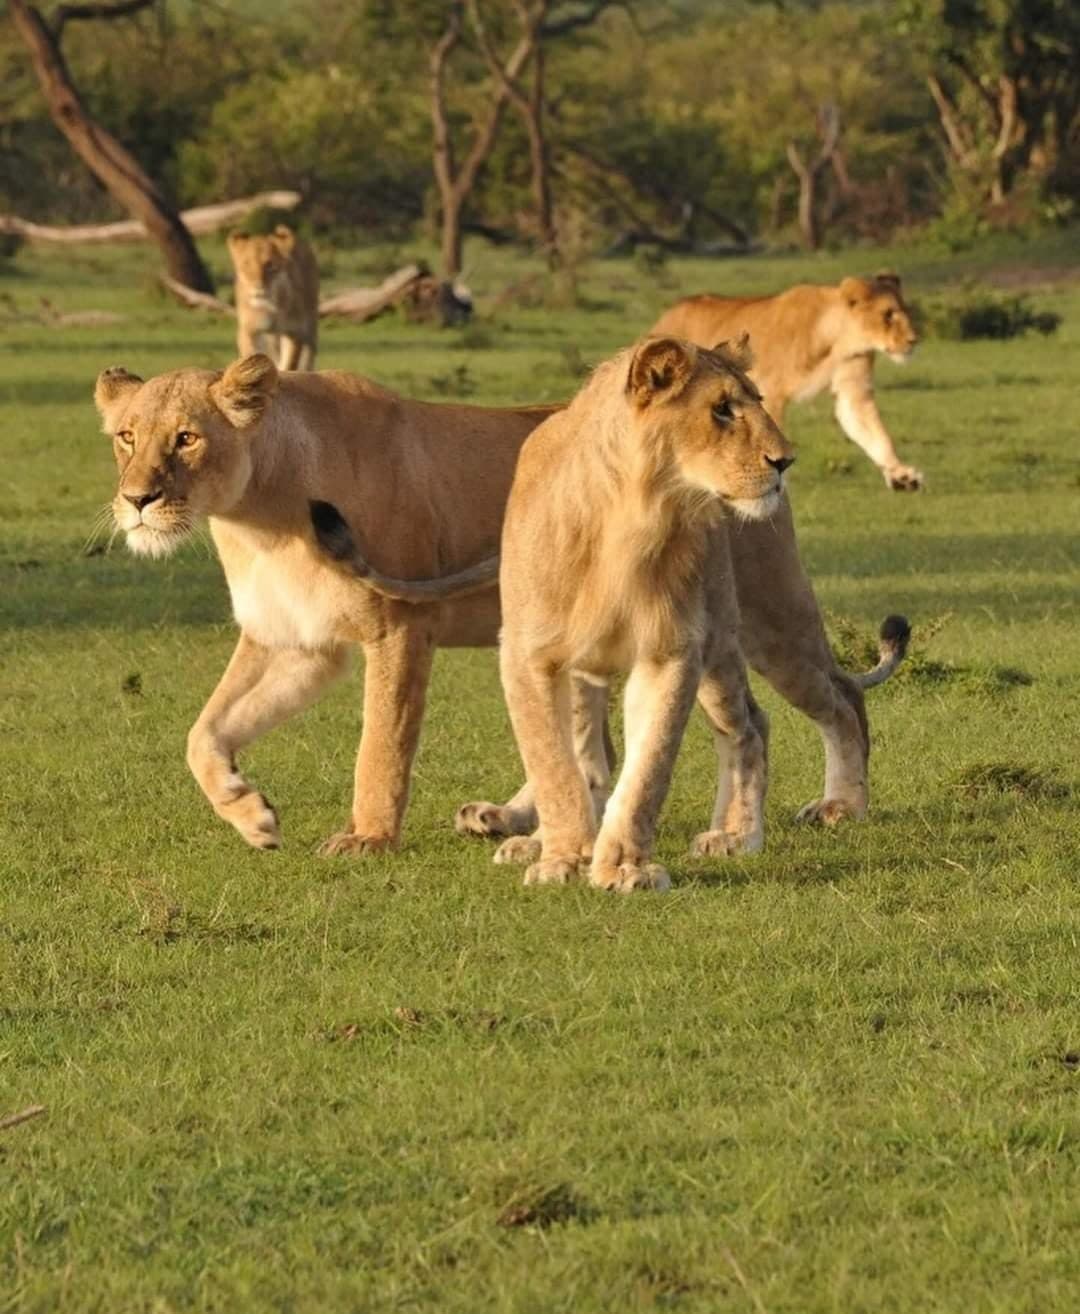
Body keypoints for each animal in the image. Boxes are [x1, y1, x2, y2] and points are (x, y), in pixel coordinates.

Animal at [95, 353, 907, 858]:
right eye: (126, 438)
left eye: (187, 439)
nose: (137, 501)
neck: (257, 519)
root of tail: (767, 467)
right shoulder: (295, 642)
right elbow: (204, 734)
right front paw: (252, 814)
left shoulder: (398, 629)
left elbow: (380, 746)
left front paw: (367, 836)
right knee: (596, 750)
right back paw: (513, 820)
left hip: (765, 617)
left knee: (837, 698)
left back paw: (835, 807)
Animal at [228, 226, 319, 371]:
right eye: (246, 264)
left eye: (269, 265)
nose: (258, 286)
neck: (271, 306)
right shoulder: (248, 329)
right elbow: (250, 354)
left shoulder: (294, 331)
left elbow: (289, 362)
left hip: (310, 325)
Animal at [649, 274, 922, 490]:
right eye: (888, 315)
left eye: (905, 311)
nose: (913, 341)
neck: (839, 342)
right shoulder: (772, 392)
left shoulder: (853, 391)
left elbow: (876, 434)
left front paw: (901, 475)